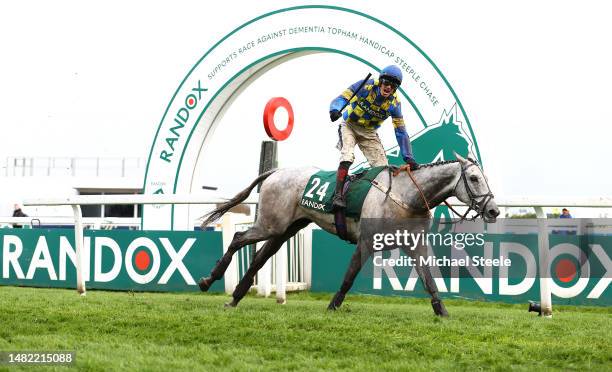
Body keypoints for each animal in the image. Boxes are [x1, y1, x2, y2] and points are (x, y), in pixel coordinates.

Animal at [198, 155, 500, 316]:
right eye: (474, 178)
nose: (494, 210)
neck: (407, 197)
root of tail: (276, 172)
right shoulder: (366, 242)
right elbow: (349, 277)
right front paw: (333, 306)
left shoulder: (415, 245)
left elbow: (429, 281)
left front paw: (442, 312)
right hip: (270, 225)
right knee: (238, 238)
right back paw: (208, 280)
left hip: (285, 229)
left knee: (259, 257)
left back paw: (234, 298)